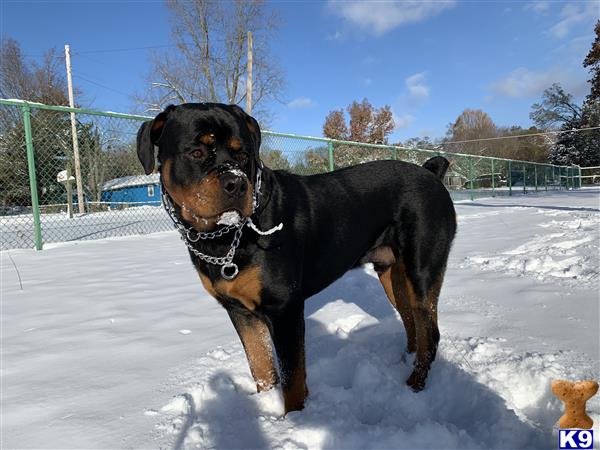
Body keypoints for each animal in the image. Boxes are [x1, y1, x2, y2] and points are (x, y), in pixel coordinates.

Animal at [136, 103, 454, 414]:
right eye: (197, 152)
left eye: (243, 155)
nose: (236, 184)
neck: (224, 239)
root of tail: (431, 173)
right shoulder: (239, 311)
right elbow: (261, 366)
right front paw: (267, 407)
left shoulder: (284, 307)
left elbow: (292, 377)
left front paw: (294, 420)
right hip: (391, 273)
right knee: (411, 322)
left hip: (421, 269)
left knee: (430, 331)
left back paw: (414, 386)